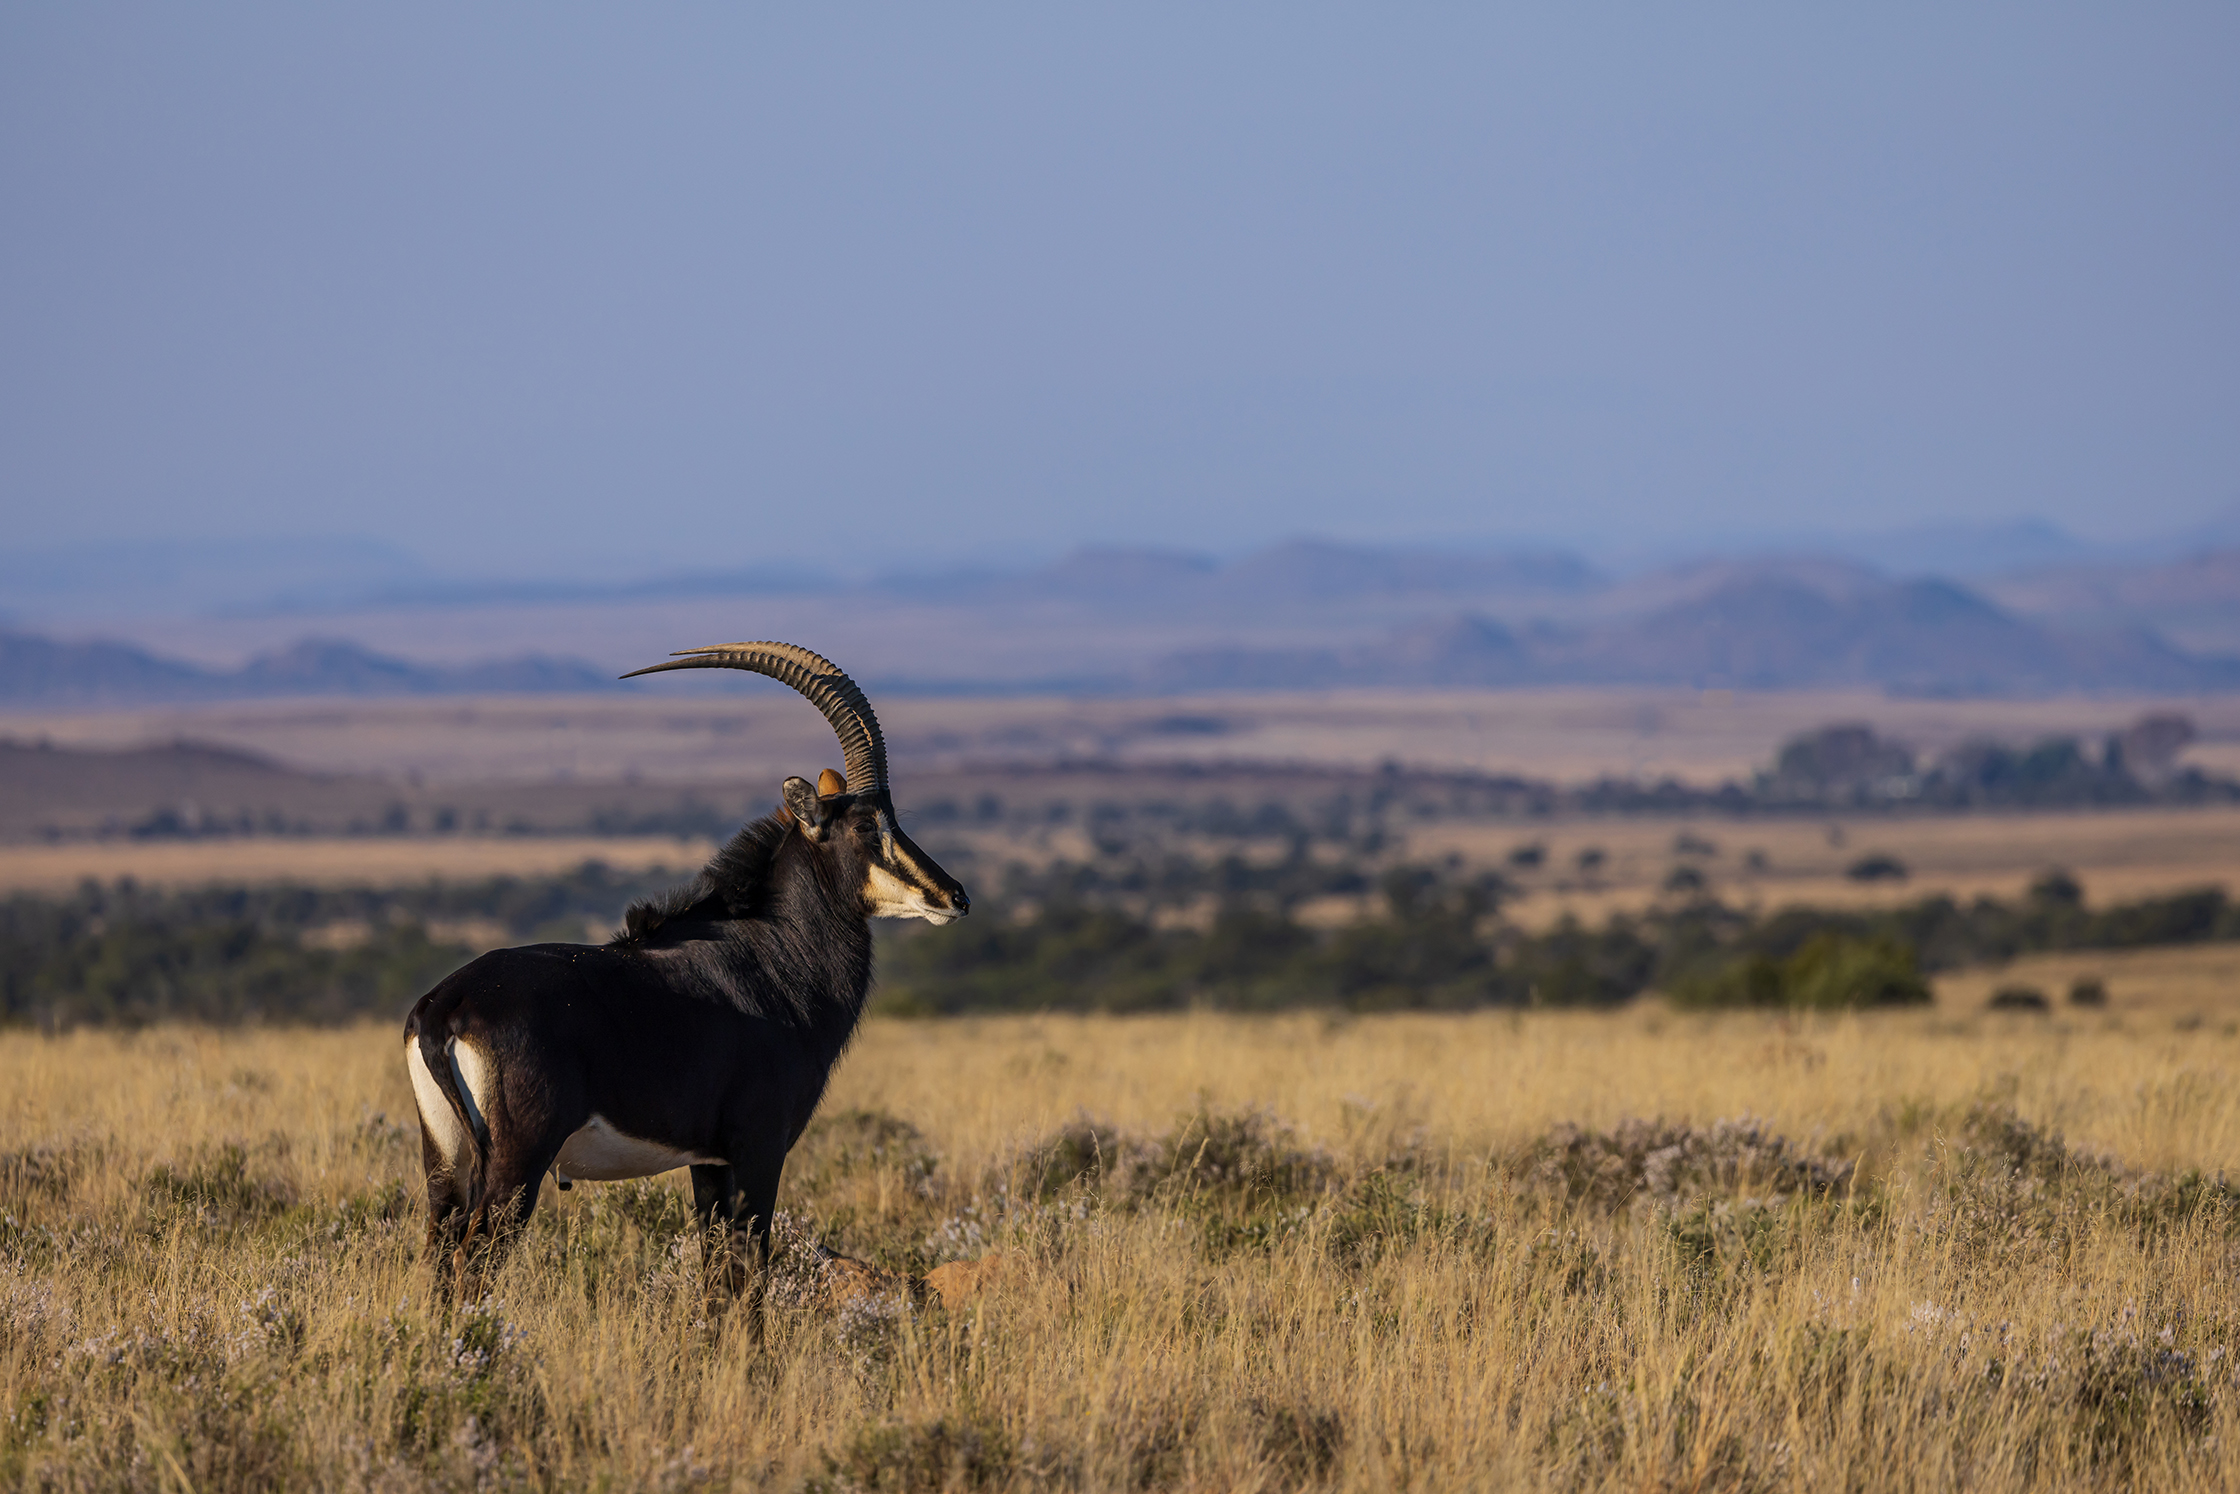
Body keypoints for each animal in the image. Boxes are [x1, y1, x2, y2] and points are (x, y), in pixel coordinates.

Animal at [403, 640, 963, 1299]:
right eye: (866, 826)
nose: (955, 896)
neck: (773, 954)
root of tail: (447, 1007)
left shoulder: (708, 1162)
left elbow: (717, 1277)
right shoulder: (758, 1150)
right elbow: (748, 1278)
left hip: (446, 1165)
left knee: (439, 1260)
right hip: (516, 1166)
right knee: (473, 1264)